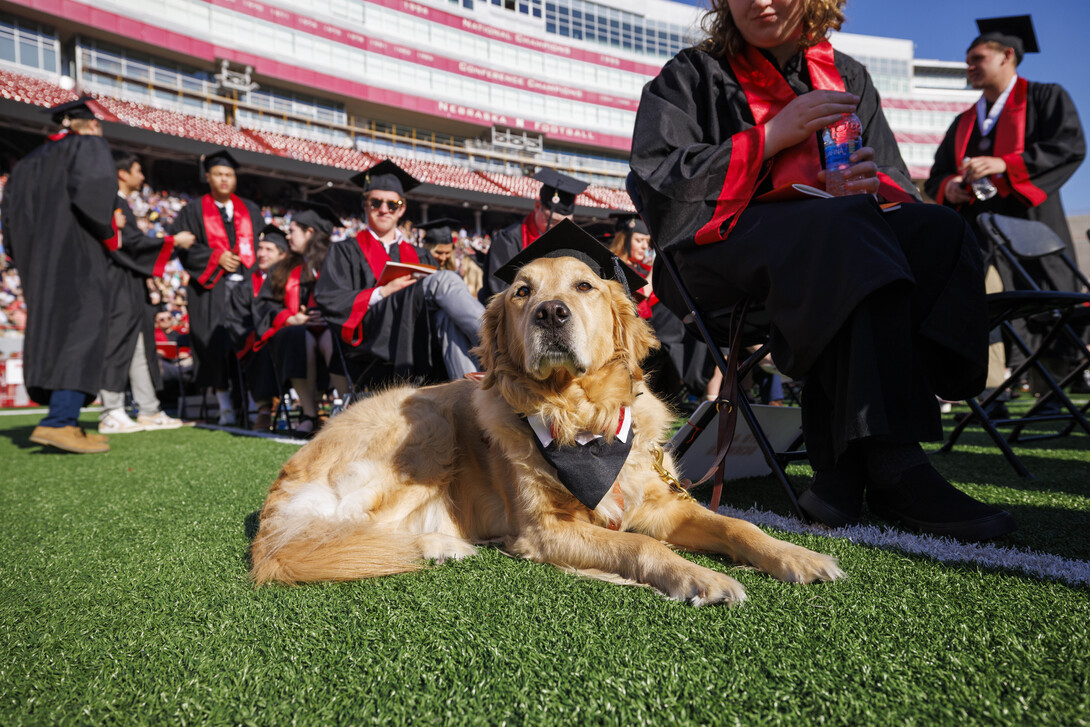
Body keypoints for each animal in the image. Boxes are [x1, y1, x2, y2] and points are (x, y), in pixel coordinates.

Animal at [250, 255, 845, 601]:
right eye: (521, 291)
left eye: (584, 285)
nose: (551, 313)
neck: (580, 417)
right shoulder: (546, 529)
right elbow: (642, 547)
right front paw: (703, 578)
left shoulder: (663, 505)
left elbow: (737, 526)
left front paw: (798, 556)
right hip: (429, 427)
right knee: (343, 533)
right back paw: (440, 547)